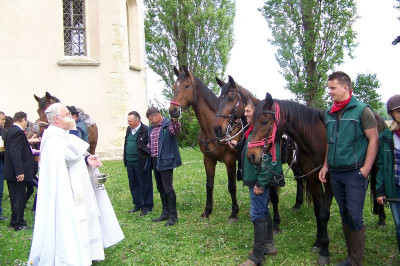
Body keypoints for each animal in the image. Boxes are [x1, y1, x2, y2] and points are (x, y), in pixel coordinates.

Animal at [167, 66, 239, 220]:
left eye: (187, 86)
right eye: (174, 86)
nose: (173, 110)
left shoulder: (230, 160)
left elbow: (232, 186)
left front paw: (234, 212)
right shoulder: (208, 159)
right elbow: (209, 185)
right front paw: (207, 210)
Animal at [212, 75, 306, 233]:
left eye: (231, 98)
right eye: (219, 99)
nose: (217, 128)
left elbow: (273, 195)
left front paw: (276, 222)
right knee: (300, 177)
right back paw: (298, 204)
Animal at [245, 93, 332, 264]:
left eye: (264, 121)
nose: (251, 155)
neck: (319, 140)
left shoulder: (331, 181)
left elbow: (324, 213)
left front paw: (324, 250)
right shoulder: (312, 178)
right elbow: (318, 209)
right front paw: (318, 242)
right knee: (299, 180)